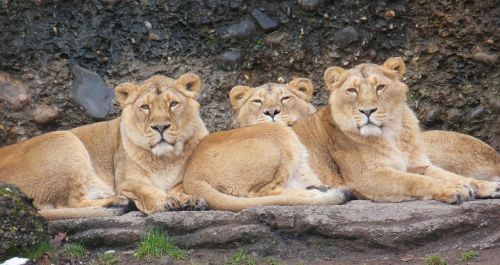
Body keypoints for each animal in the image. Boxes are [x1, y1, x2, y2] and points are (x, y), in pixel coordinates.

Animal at [0, 73, 209, 218]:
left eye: (173, 104)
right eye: (145, 107)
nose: (160, 127)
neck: (166, 158)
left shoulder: (185, 178)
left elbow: (180, 188)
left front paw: (189, 200)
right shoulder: (128, 182)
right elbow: (150, 191)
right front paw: (167, 202)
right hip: (65, 140)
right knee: (69, 203)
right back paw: (119, 202)